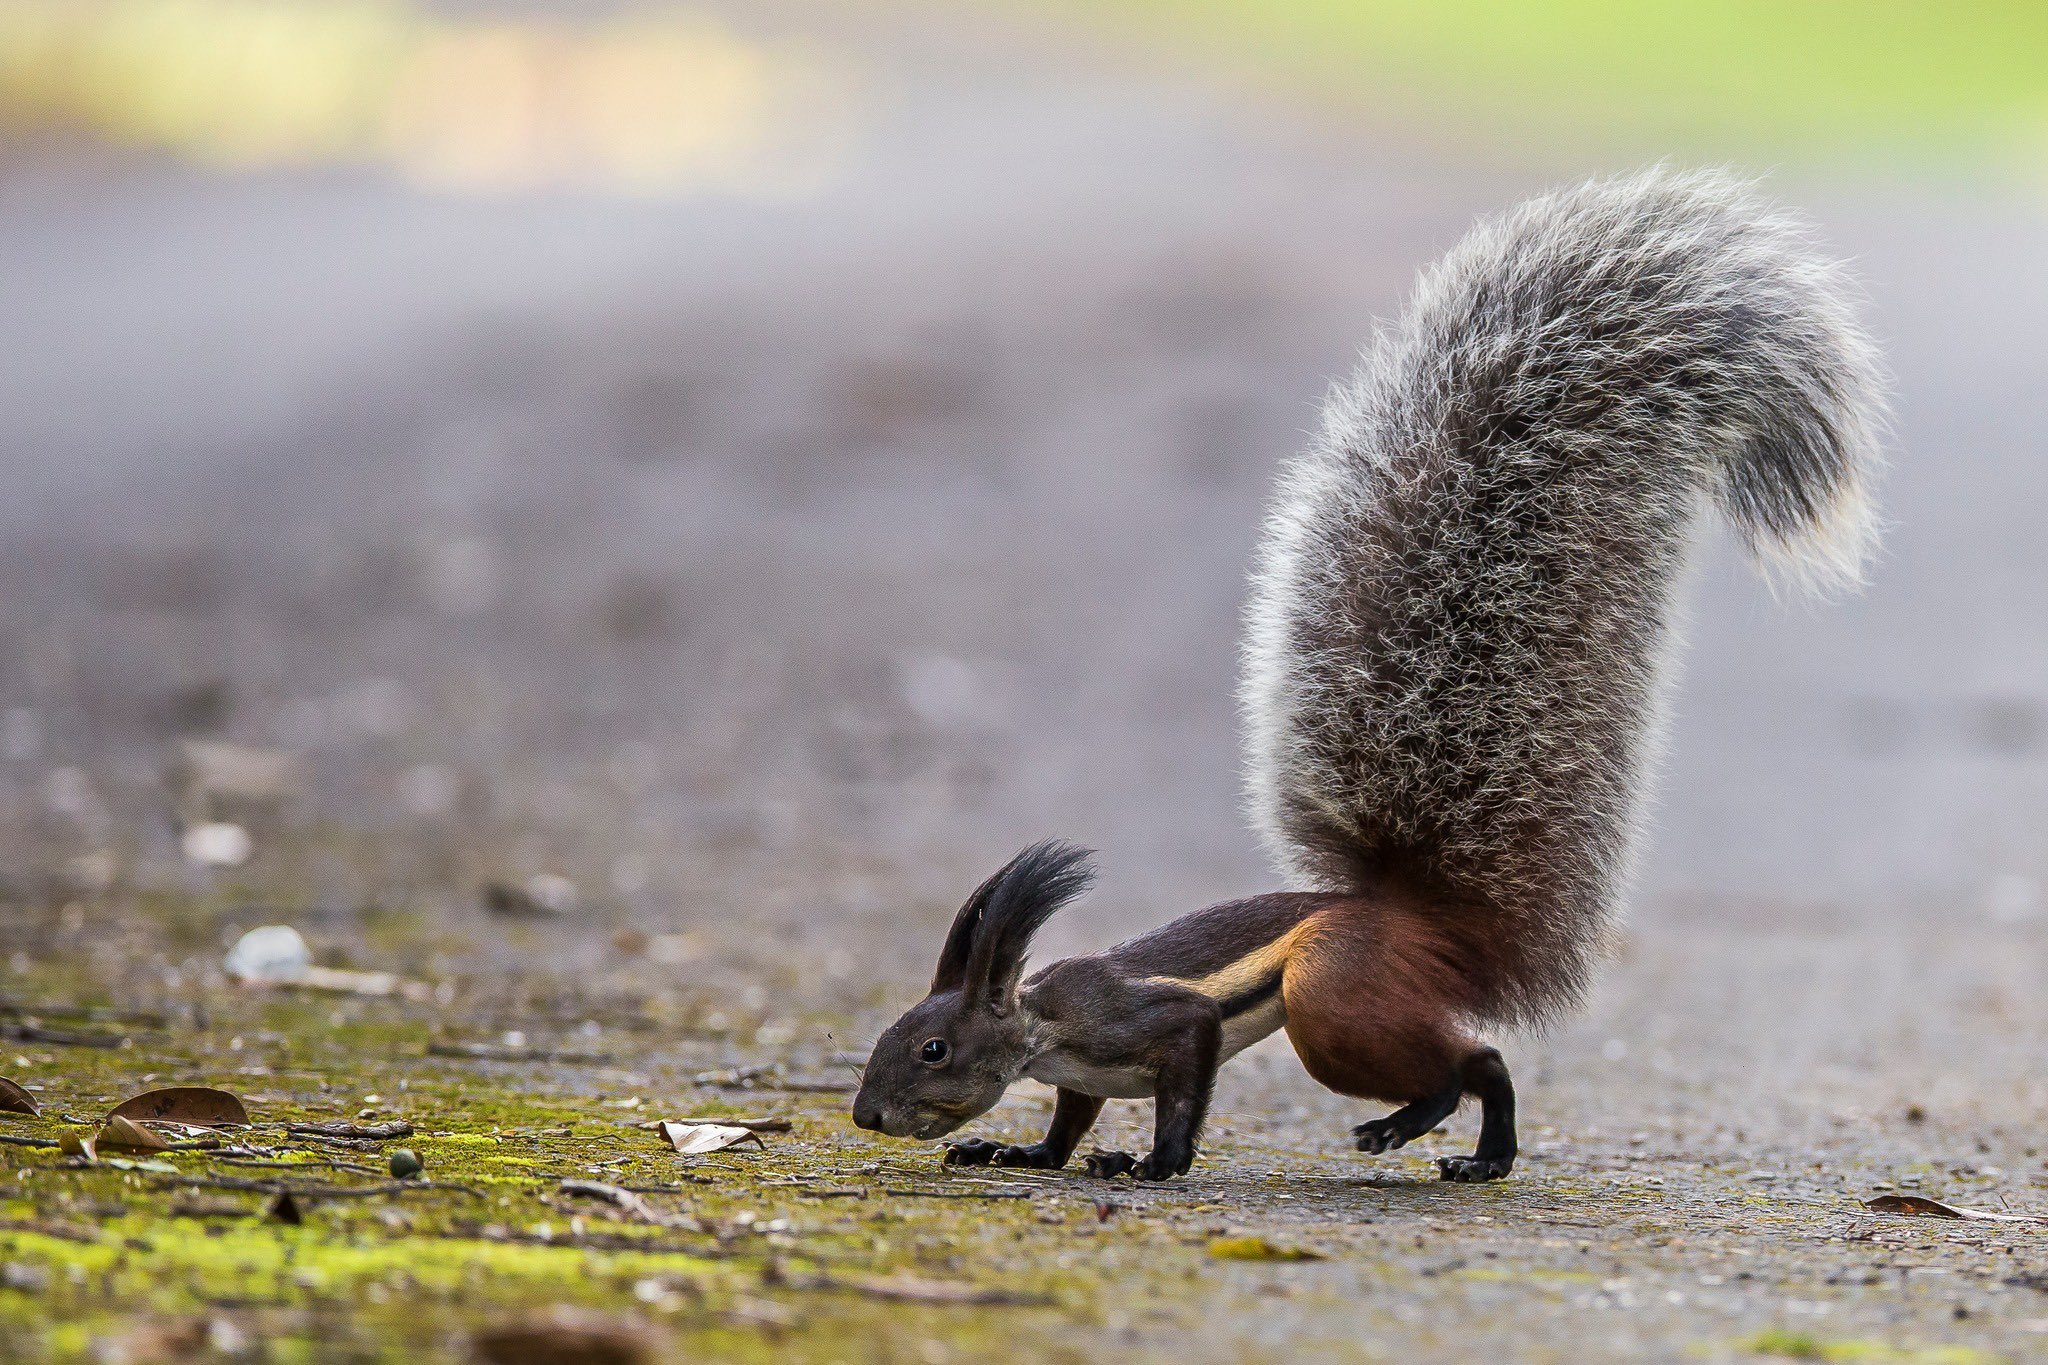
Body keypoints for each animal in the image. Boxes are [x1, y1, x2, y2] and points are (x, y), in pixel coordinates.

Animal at [847, 165, 1884, 1178]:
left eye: (933, 1047)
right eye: (893, 1033)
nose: (866, 1113)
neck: (1043, 1022)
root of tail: (1418, 922)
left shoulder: (1160, 1019)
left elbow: (1183, 1075)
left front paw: (1153, 1162)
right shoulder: (1085, 1073)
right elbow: (1069, 1118)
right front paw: (1020, 1147)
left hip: (1333, 998)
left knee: (1476, 1059)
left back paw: (1427, 1131)